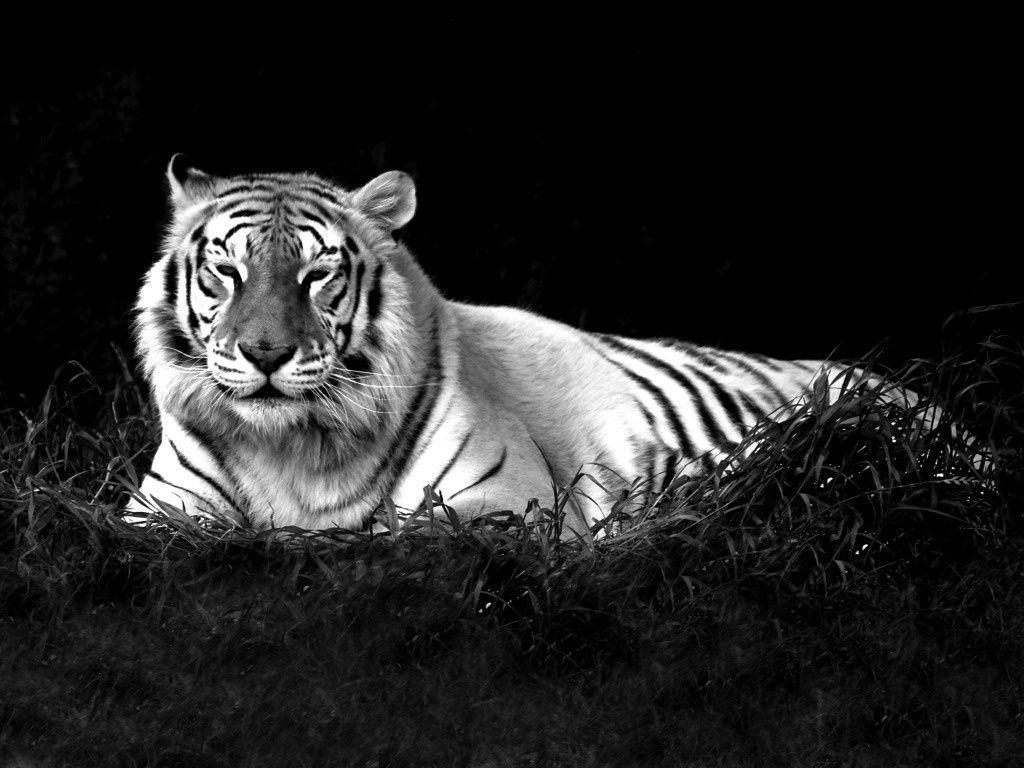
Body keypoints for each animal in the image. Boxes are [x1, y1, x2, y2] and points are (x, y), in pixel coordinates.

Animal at [127, 155, 885, 538]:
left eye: (317, 277)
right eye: (229, 272)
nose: (265, 353)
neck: (294, 448)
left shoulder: (504, 501)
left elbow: (398, 538)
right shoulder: (159, 514)